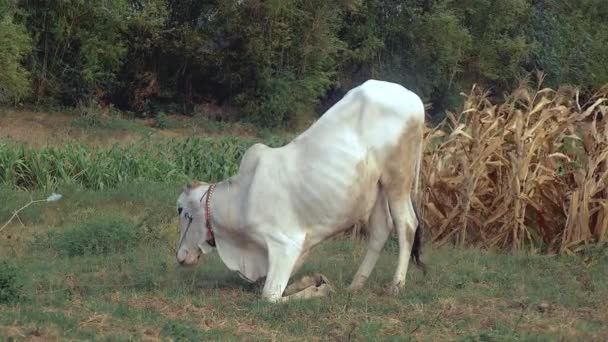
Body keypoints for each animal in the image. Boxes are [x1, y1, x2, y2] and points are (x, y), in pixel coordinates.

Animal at [173, 79, 426, 302]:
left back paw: (396, 286)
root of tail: (413, 97)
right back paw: (355, 285)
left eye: (181, 211)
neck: (241, 199)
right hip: (377, 188)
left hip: (398, 180)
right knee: (381, 229)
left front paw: (321, 289)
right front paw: (316, 280)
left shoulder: (285, 245)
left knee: (406, 224)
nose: (180, 256)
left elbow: (269, 295)